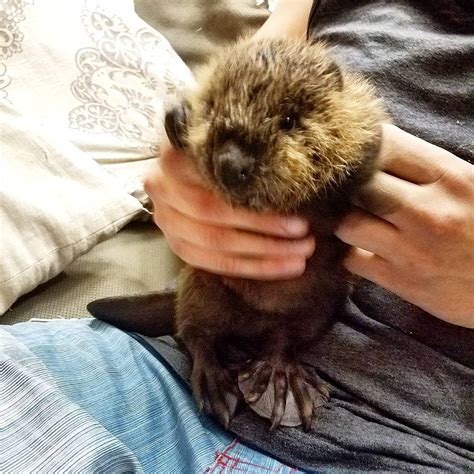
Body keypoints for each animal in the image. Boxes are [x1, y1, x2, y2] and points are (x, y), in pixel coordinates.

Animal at [90, 37, 388, 430]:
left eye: (289, 120)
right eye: (213, 109)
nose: (231, 164)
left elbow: (362, 158)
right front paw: (180, 118)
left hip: (321, 303)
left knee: (283, 340)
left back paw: (281, 385)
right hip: (202, 286)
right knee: (196, 333)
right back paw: (218, 387)